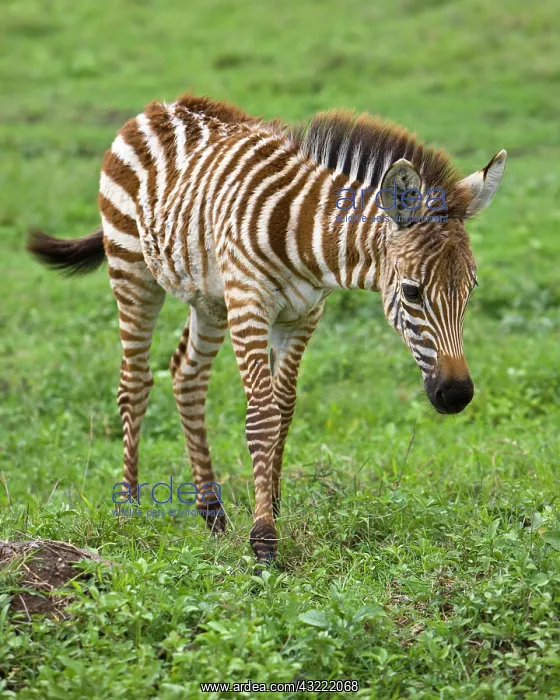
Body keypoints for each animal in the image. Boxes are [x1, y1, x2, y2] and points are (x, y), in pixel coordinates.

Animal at [28, 92, 506, 564]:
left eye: (471, 290)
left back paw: (211, 510)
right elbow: (262, 415)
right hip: (132, 268)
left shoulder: (304, 316)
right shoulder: (250, 305)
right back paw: (128, 509)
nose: (456, 395)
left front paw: (271, 505)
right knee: (135, 381)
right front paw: (263, 539)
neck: (308, 239)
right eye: (411, 292)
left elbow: (285, 408)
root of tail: (159, 106)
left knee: (186, 376)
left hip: (210, 300)